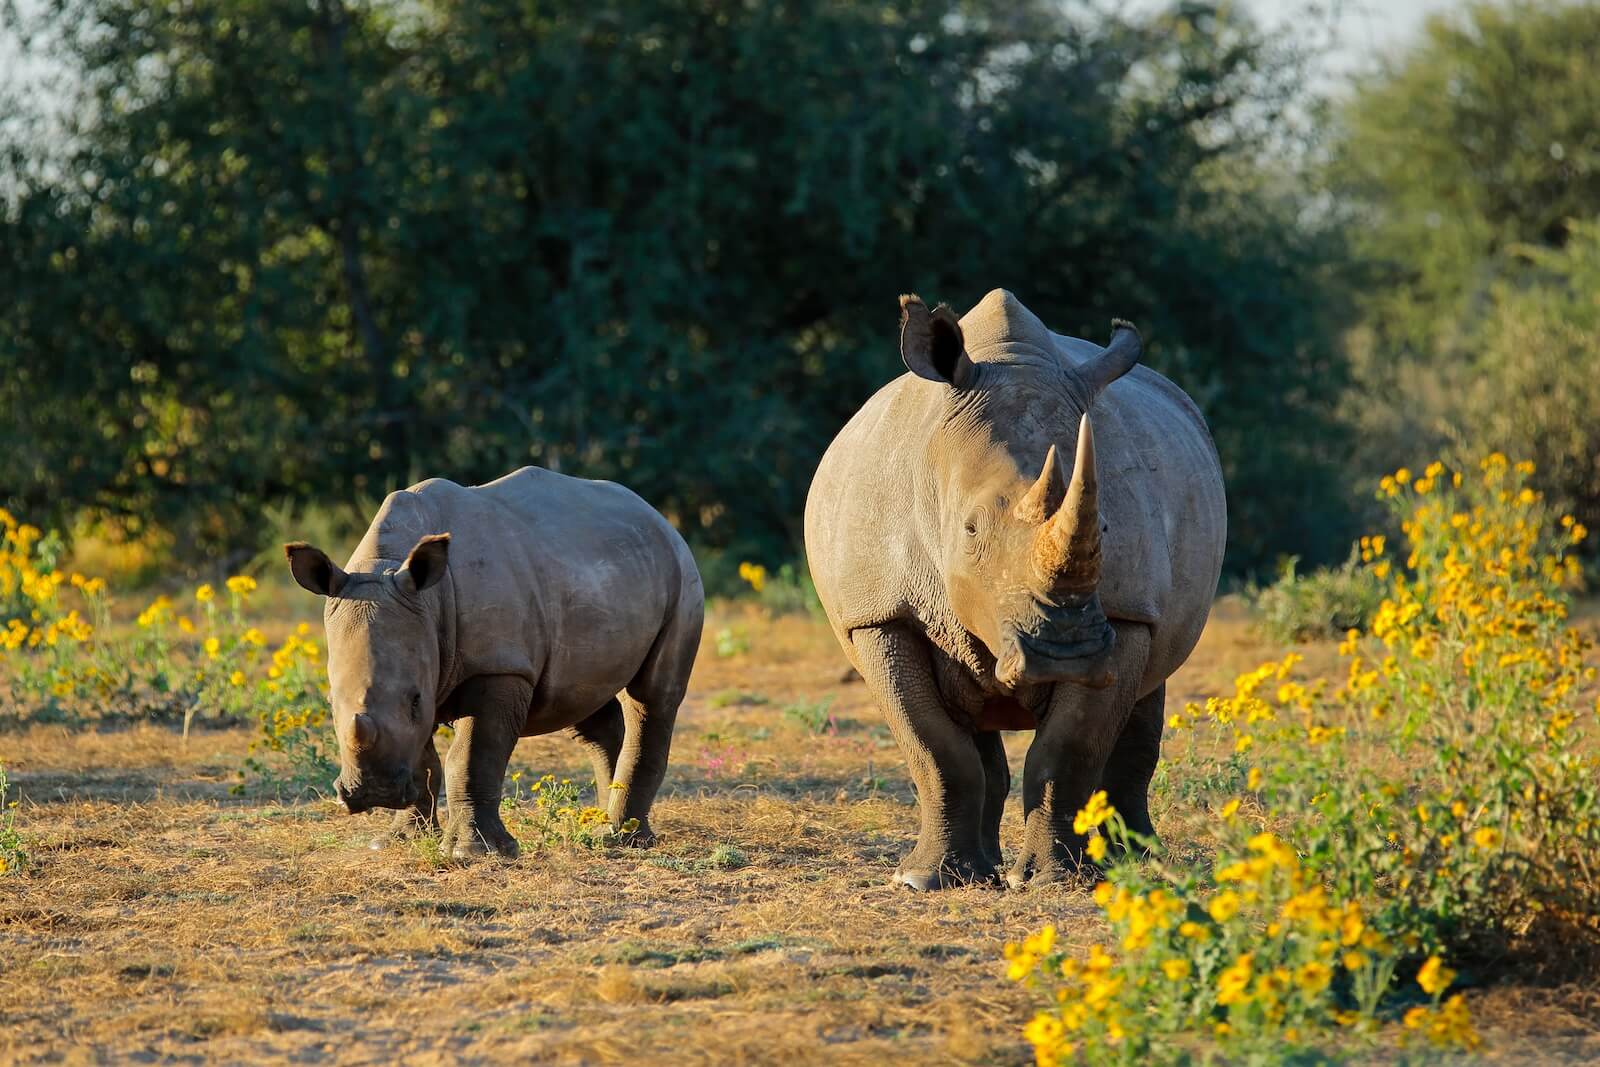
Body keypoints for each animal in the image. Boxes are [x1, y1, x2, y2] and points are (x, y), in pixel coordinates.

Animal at [285, 466, 704, 860]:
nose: (376, 793)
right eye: (330, 703)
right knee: (584, 699)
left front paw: (474, 852)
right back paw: (603, 826)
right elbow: (424, 760)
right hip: (602, 570)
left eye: (415, 699)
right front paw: (398, 841)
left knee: (653, 696)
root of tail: (658, 517)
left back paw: (623, 839)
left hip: (681, 573)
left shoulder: (499, 665)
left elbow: (472, 757)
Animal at [805, 289, 1226, 889]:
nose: (1063, 654)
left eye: (1104, 528)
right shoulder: (879, 614)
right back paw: (981, 871)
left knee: (1146, 695)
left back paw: (1138, 864)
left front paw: (1055, 880)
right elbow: (935, 749)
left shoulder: (1125, 617)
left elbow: (1068, 748)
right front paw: (925, 882)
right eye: (970, 530)